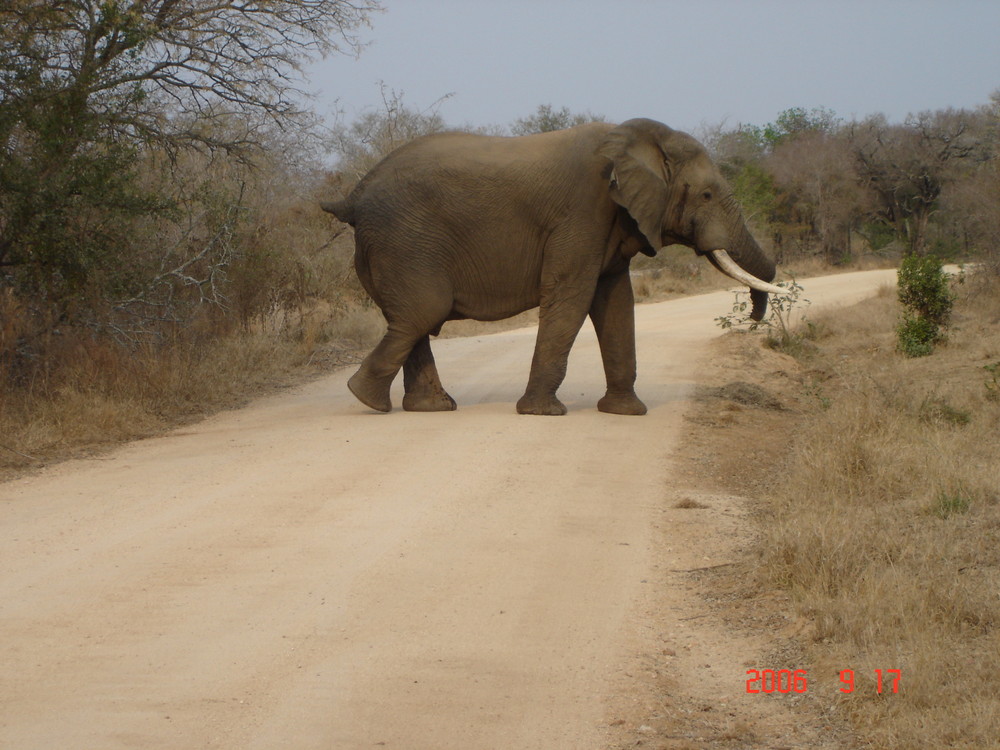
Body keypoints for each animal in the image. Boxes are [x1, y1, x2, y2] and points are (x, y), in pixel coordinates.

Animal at [324, 117, 784, 418]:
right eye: (706, 196)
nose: (752, 322)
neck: (636, 140)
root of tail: (354, 194)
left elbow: (616, 302)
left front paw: (626, 413)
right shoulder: (582, 213)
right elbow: (572, 297)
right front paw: (543, 414)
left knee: (413, 318)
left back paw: (429, 408)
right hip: (403, 241)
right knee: (423, 312)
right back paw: (367, 401)